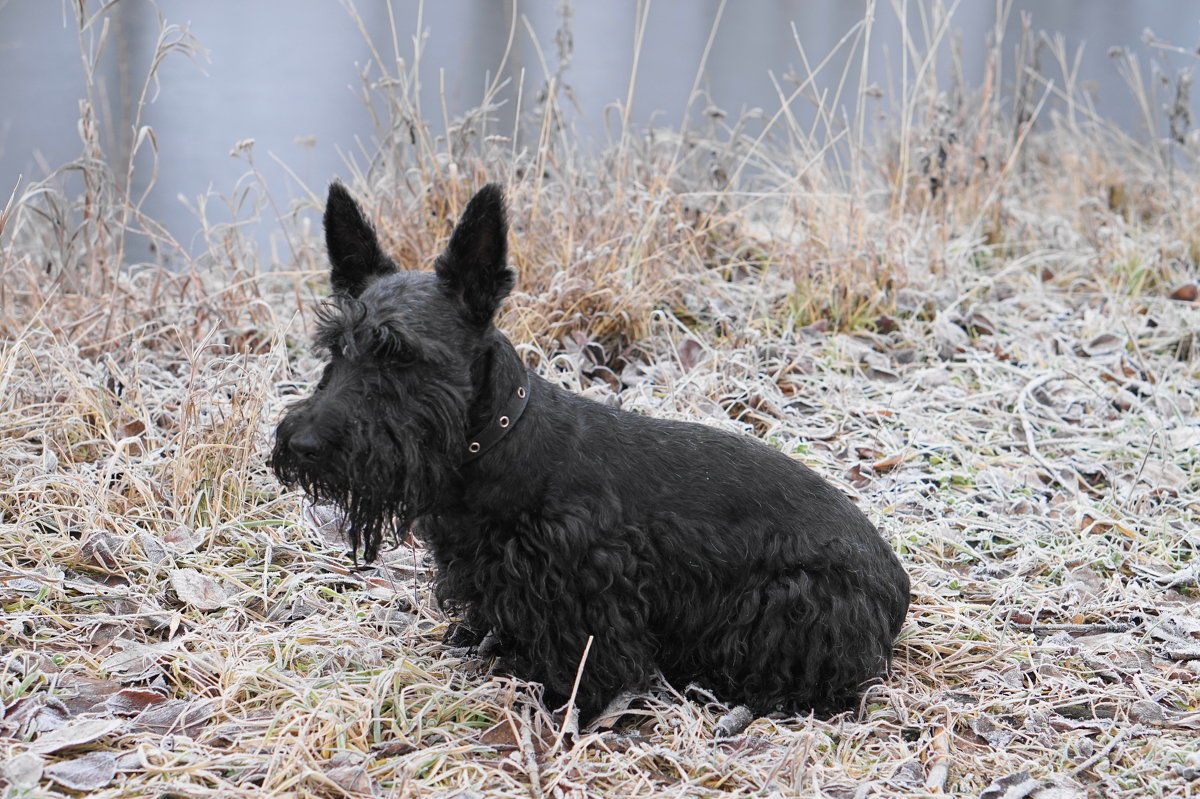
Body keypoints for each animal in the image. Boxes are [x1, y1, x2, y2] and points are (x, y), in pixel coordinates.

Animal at [274, 179, 907, 719]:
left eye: (402, 356)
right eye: (336, 348)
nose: (303, 445)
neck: (493, 446)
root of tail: (898, 587)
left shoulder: (588, 584)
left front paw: (560, 691)